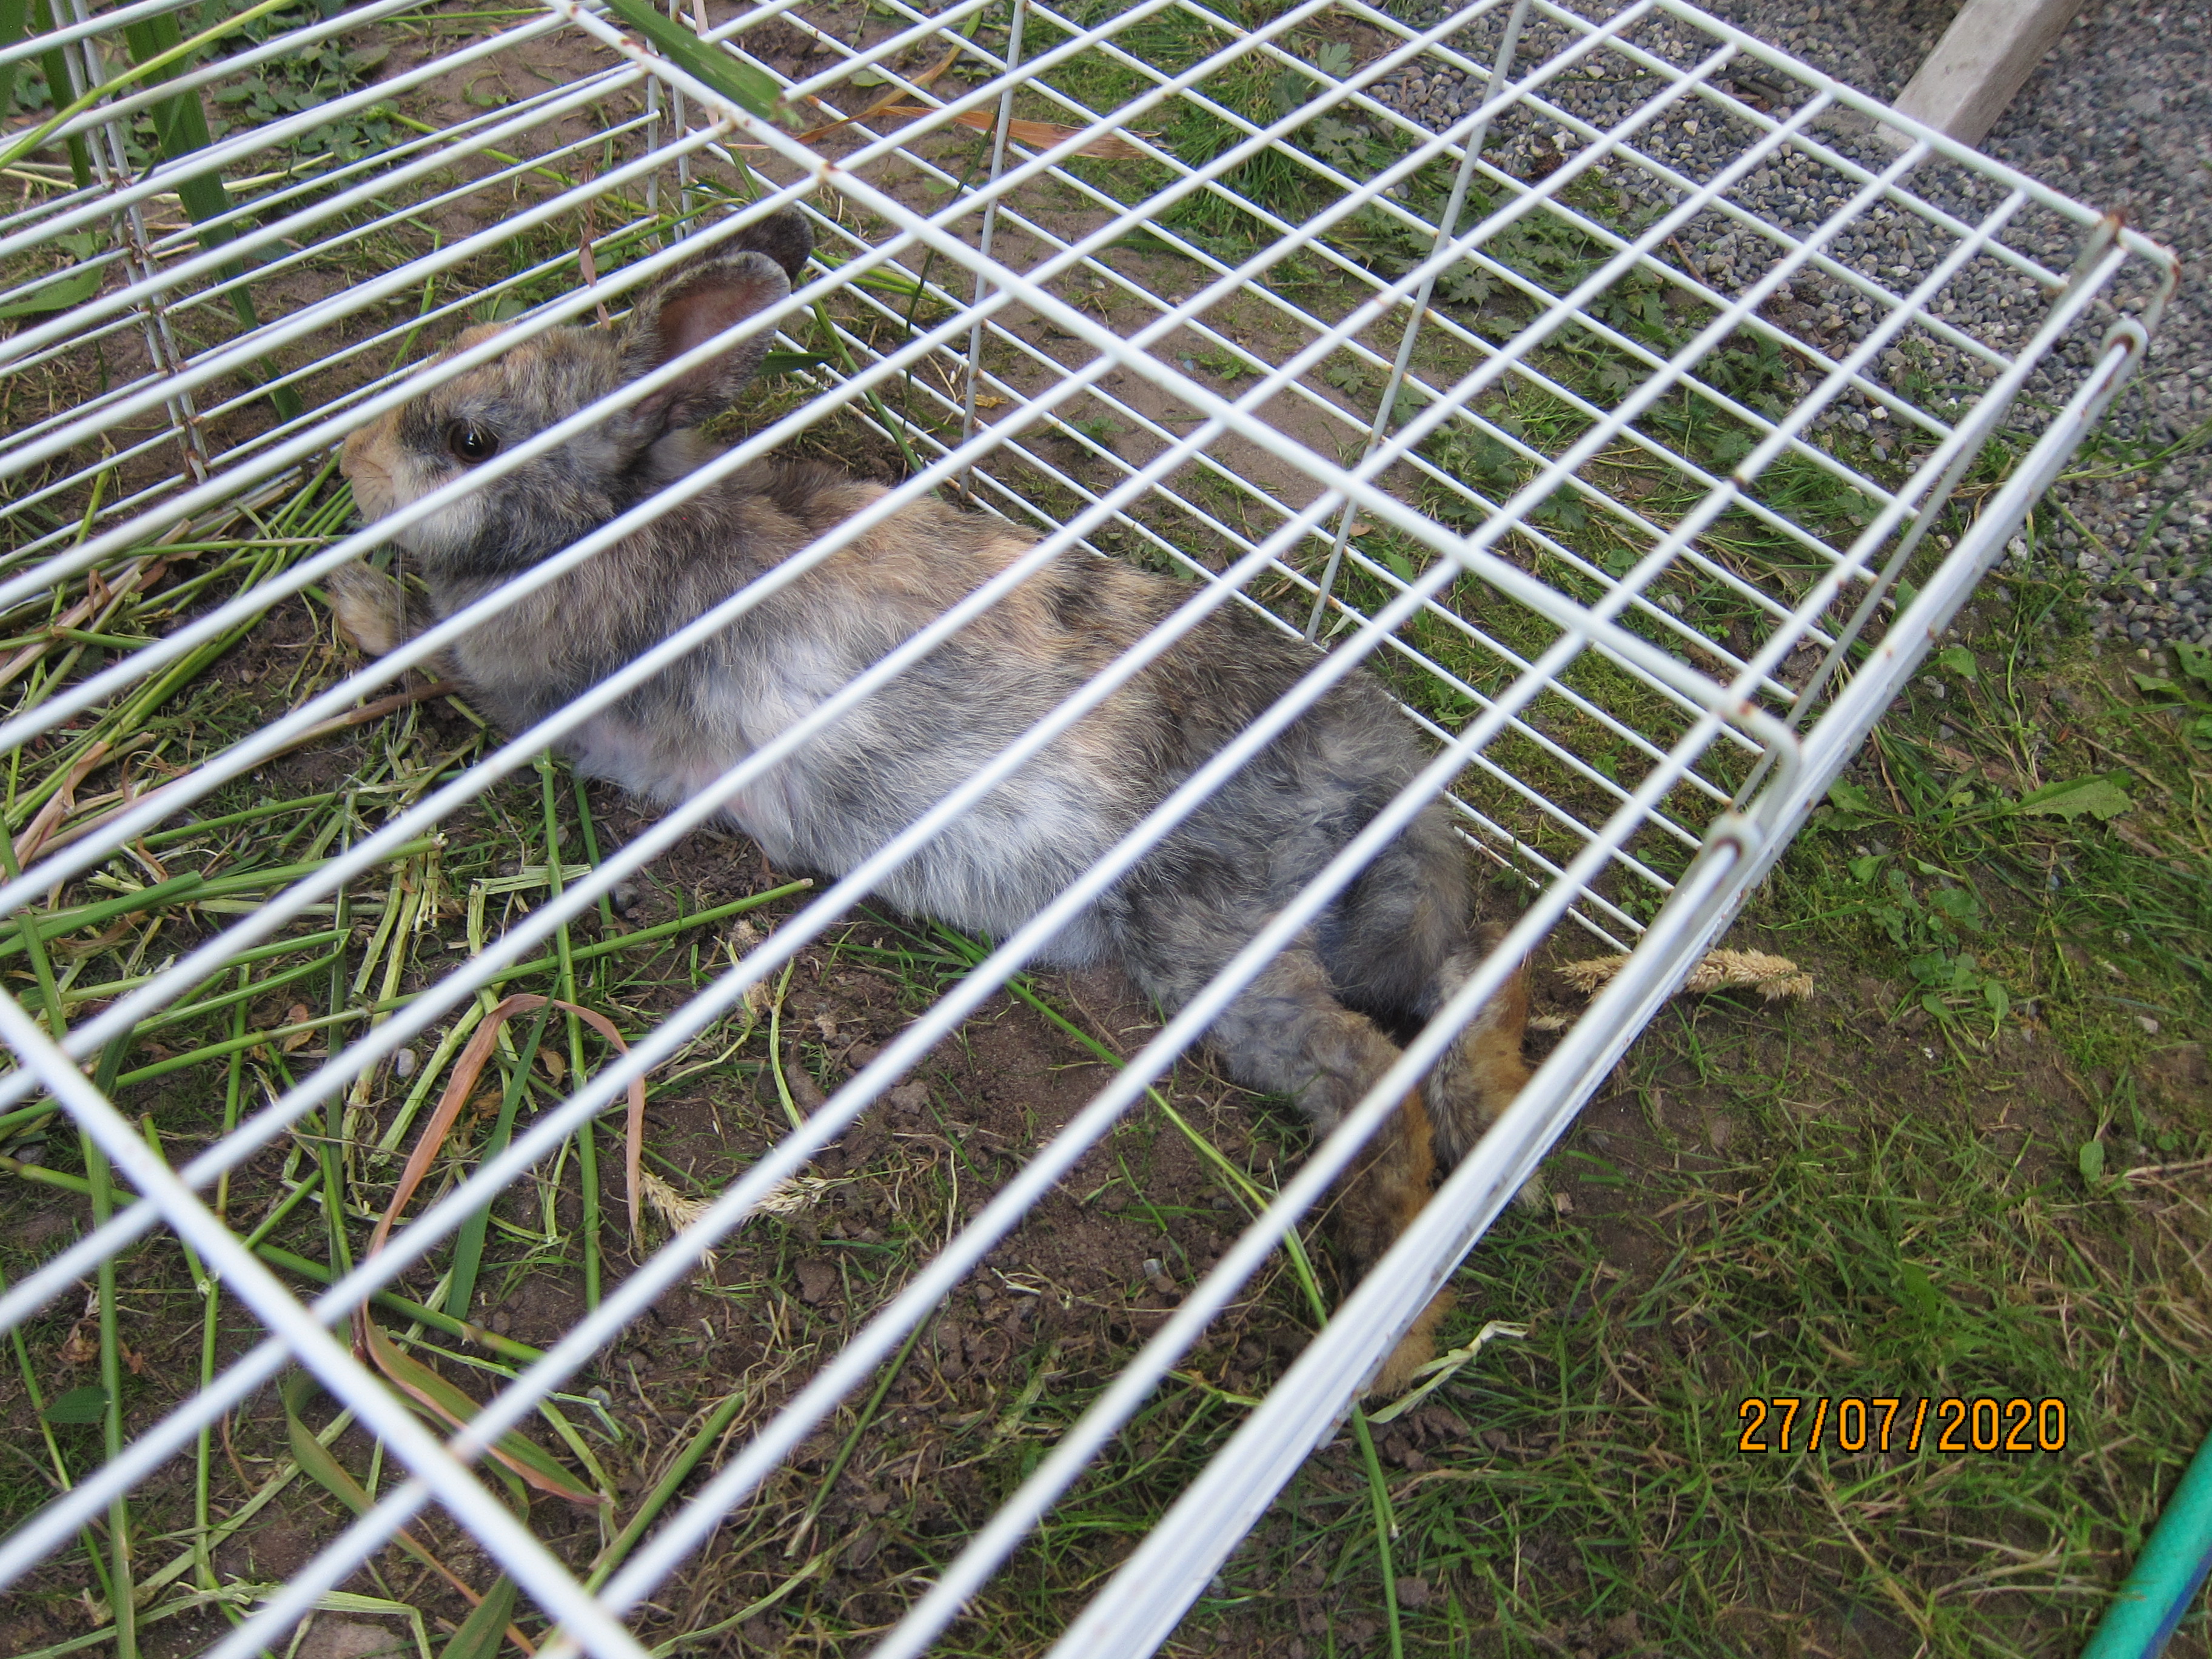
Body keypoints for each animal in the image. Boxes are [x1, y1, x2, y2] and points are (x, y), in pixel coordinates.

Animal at [332, 211, 1540, 1407]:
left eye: (468, 440)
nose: (348, 460)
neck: (617, 518)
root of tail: (1376, 777)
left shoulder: (516, 690)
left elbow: (422, 654)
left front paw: (356, 603)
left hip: (1218, 941)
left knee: (1369, 1073)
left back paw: (1394, 1340)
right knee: (1472, 982)